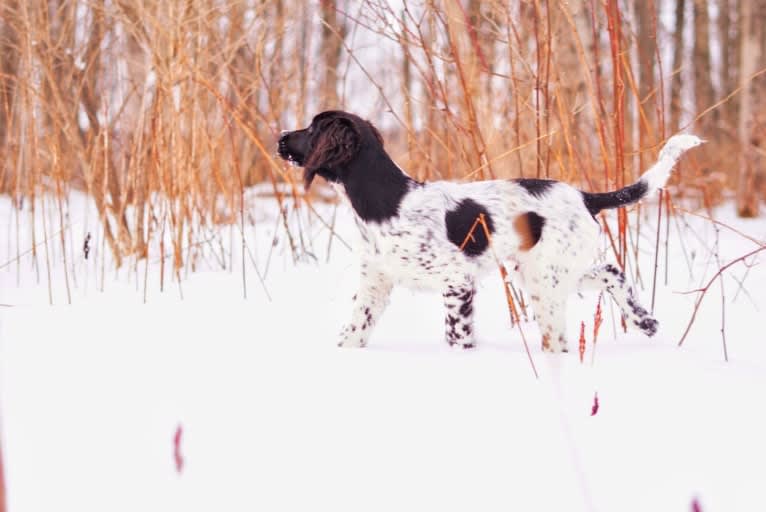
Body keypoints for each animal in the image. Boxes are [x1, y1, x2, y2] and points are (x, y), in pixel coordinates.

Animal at [280, 111, 704, 352]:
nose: (280, 137)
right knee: (611, 271)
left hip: (546, 279)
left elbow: (458, 337)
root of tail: (584, 196)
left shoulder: (457, 284)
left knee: (563, 335)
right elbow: (354, 331)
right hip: (544, 271)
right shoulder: (376, 284)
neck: (387, 201)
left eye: (312, 129)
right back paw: (644, 321)